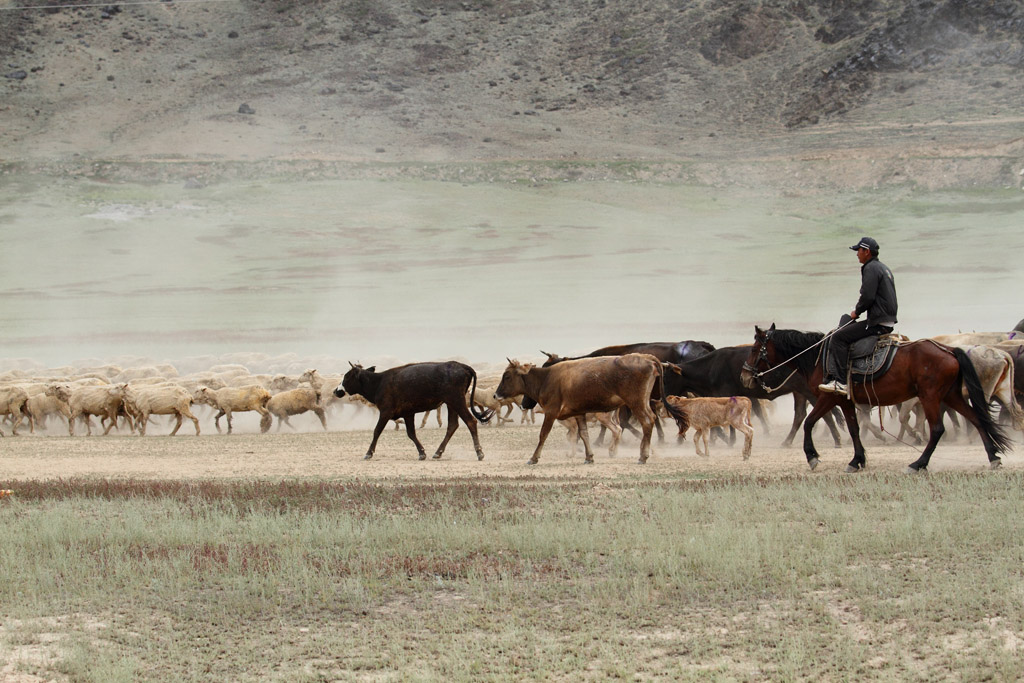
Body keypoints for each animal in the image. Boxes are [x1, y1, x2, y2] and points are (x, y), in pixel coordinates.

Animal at [331, 360, 491, 462]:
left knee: (470, 421)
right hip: (452, 404)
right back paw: (438, 452)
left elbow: (377, 431)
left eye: (347, 377)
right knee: (452, 426)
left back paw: (479, 452)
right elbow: (411, 433)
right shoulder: (408, 413)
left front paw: (368, 453)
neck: (379, 383)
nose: (336, 391)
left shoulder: (385, 412)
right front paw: (422, 453)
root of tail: (462, 366)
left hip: (456, 401)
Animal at [491, 352, 684, 464]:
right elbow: (583, 434)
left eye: (507, 376)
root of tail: (647, 358)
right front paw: (589, 457)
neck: (547, 379)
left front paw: (533, 458)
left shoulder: (551, 412)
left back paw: (643, 456)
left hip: (636, 402)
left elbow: (543, 434)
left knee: (647, 421)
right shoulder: (579, 413)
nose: (495, 395)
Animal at [741, 325, 1011, 473]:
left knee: (937, 429)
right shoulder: (846, 401)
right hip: (951, 395)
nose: (745, 375)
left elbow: (809, 422)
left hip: (930, 397)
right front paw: (857, 460)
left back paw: (918, 464)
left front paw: (813, 457)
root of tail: (949, 350)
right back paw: (993, 458)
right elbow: (853, 429)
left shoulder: (829, 397)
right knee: (976, 419)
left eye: (754, 349)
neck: (818, 356)